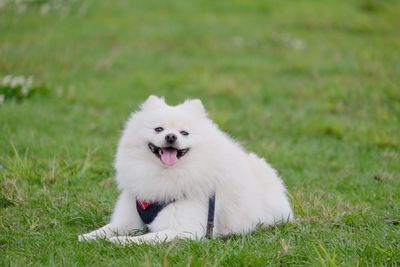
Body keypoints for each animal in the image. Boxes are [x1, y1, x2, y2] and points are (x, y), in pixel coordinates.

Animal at [78, 96, 292, 245]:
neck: (163, 175)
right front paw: (88, 236)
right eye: (158, 129)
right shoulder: (130, 218)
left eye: (184, 133)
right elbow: (107, 228)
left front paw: (118, 241)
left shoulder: (184, 230)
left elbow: (144, 238)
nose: (171, 136)